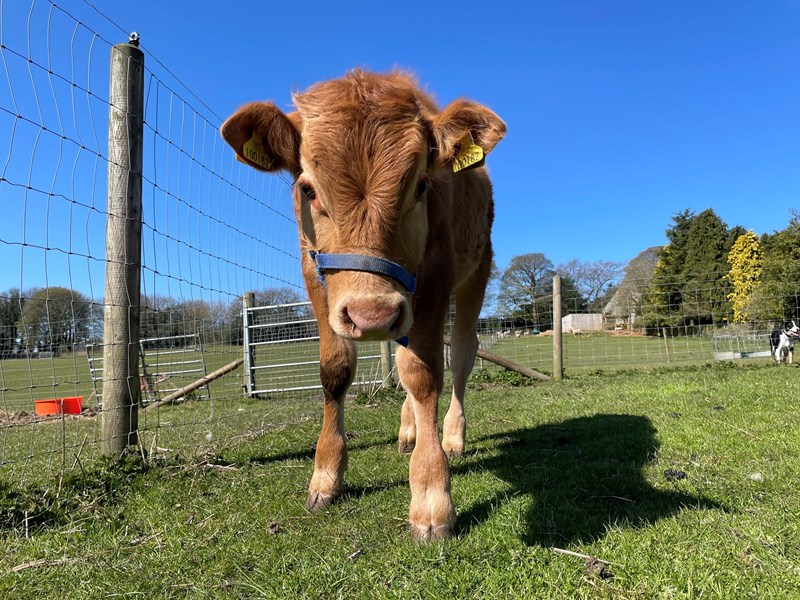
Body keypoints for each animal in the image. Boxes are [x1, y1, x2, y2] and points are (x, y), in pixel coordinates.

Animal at [221, 70, 505, 541]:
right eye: (308, 189)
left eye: (421, 185)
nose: (372, 316)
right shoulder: (315, 275)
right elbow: (335, 371)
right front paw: (326, 476)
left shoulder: (436, 274)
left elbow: (423, 374)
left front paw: (431, 495)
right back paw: (409, 430)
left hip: (475, 271)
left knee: (462, 353)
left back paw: (451, 436)